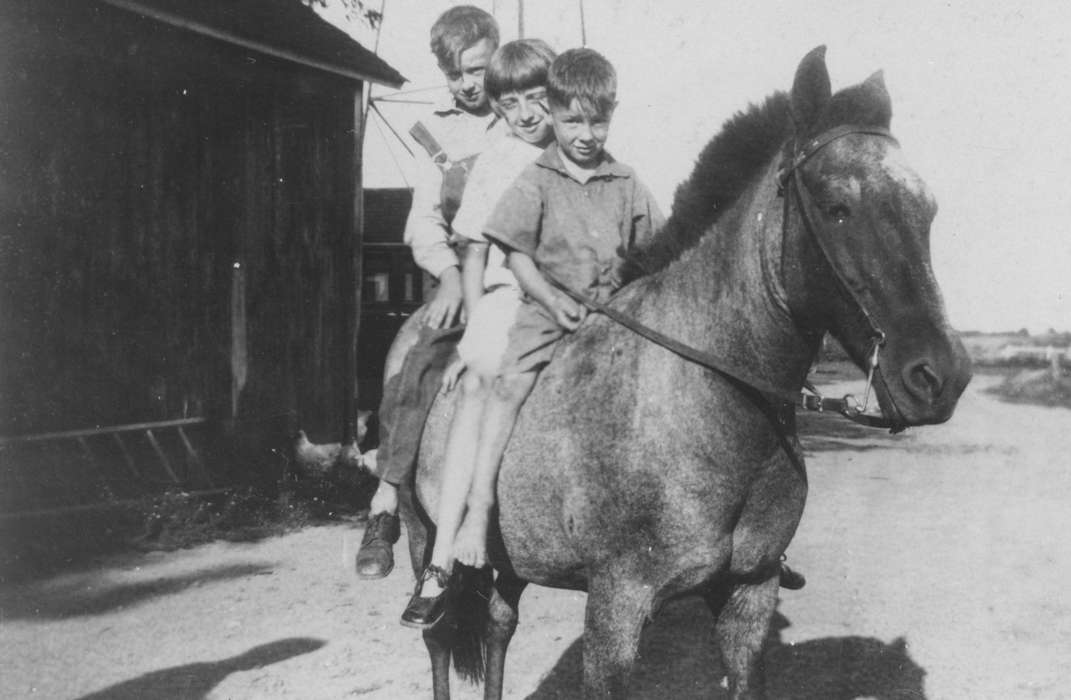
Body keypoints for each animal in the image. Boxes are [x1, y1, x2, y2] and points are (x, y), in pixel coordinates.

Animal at [389, 46, 976, 697]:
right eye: (837, 208)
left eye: (927, 209)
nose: (941, 376)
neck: (693, 400)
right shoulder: (615, 607)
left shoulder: (748, 594)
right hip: (421, 535)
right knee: (440, 636)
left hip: (510, 560)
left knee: (497, 626)